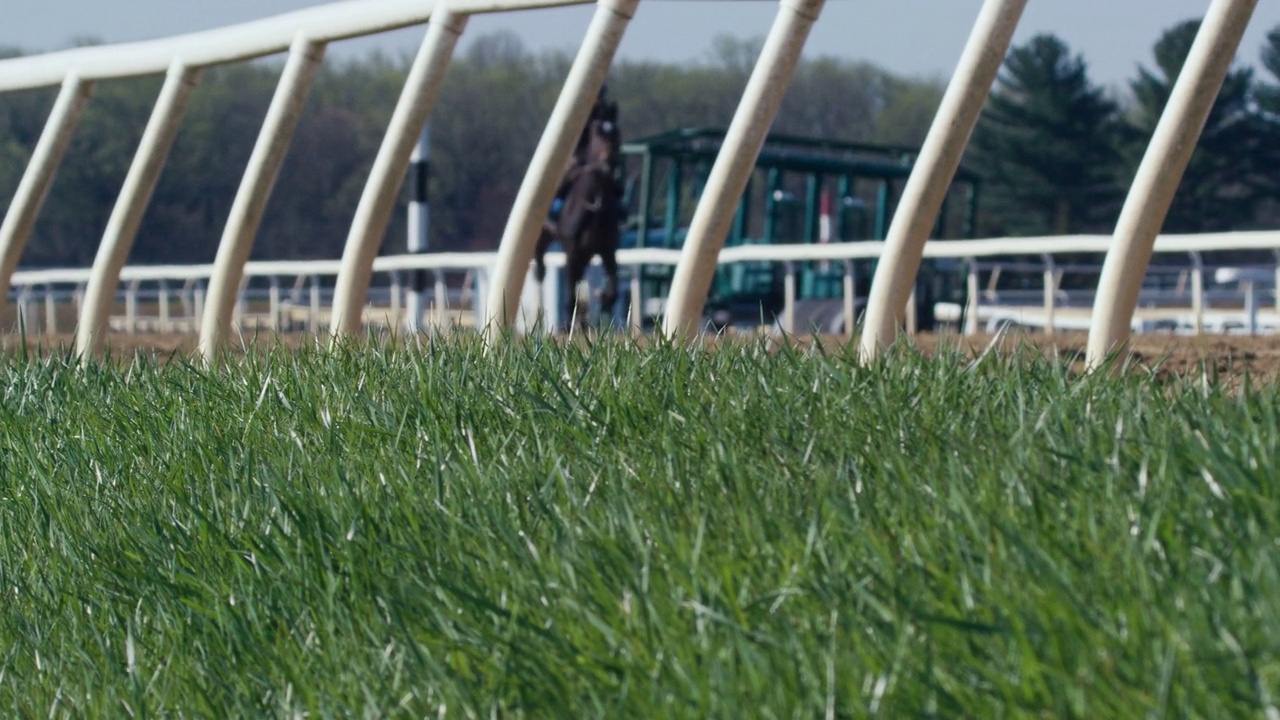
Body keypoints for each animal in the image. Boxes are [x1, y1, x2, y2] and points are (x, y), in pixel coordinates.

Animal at [535, 107, 624, 333]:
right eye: (598, 133)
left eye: (616, 133)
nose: (608, 164)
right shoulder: (572, 251)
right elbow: (569, 291)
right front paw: (568, 324)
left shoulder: (608, 250)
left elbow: (613, 288)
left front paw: (603, 300)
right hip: (544, 239)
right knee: (540, 264)